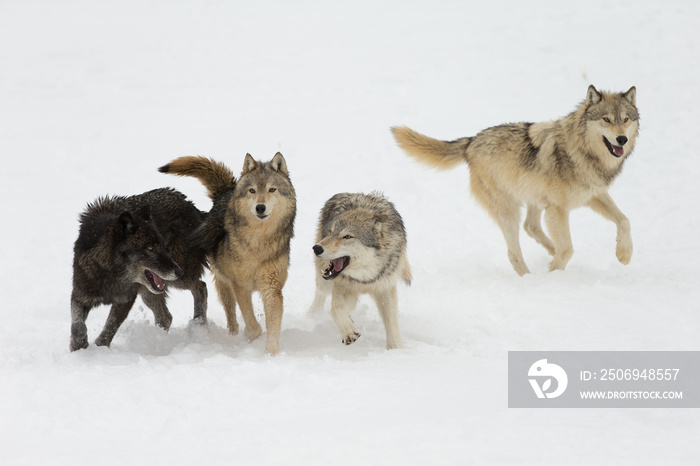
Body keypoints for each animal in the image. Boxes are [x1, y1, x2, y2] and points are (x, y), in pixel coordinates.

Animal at [69, 187, 209, 352]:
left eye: (162, 245)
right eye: (150, 248)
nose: (178, 271)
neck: (111, 273)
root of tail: (194, 208)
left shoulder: (126, 298)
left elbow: (110, 326)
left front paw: (100, 348)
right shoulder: (80, 294)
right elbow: (77, 324)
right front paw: (78, 346)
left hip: (176, 281)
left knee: (201, 287)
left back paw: (199, 325)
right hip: (151, 291)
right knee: (166, 317)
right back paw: (158, 339)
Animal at [160, 153, 296, 354]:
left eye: (272, 189)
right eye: (252, 191)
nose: (260, 207)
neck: (258, 242)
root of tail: (226, 193)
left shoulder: (272, 287)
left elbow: (273, 327)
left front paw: (271, 354)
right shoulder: (240, 285)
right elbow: (252, 323)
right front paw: (251, 336)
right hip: (223, 284)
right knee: (231, 316)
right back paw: (233, 336)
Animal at [308, 192, 412, 350]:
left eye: (347, 236)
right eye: (330, 232)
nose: (317, 248)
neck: (364, 279)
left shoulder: (385, 289)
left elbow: (392, 323)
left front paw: (396, 350)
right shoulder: (341, 286)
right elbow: (336, 308)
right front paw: (348, 332)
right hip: (324, 283)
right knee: (321, 294)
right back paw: (312, 315)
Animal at [394, 84, 640, 274]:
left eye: (626, 119)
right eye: (606, 119)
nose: (622, 139)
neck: (581, 152)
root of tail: (471, 141)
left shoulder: (592, 195)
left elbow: (625, 220)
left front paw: (624, 254)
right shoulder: (558, 209)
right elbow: (568, 249)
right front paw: (554, 272)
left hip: (532, 199)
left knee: (530, 226)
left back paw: (550, 252)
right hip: (509, 210)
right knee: (514, 251)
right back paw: (530, 278)